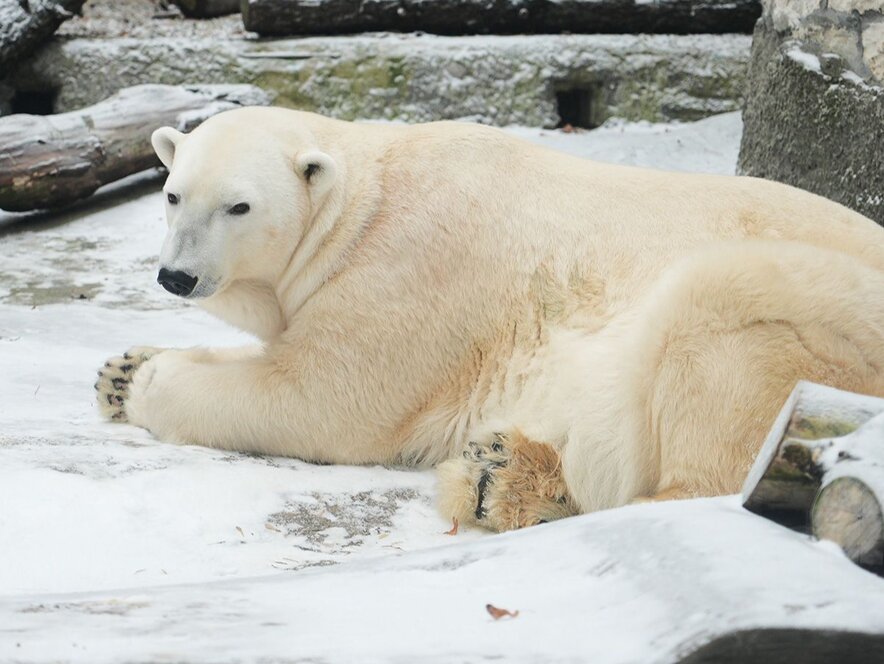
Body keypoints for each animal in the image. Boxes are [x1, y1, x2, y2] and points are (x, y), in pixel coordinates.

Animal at [96, 107, 884, 532]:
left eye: (239, 205)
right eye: (172, 193)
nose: (176, 275)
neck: (364, 204)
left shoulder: (415, 267)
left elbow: (320, 396)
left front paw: (148, 384)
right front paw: (119, 369)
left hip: (822, 321)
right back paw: (497, 475)